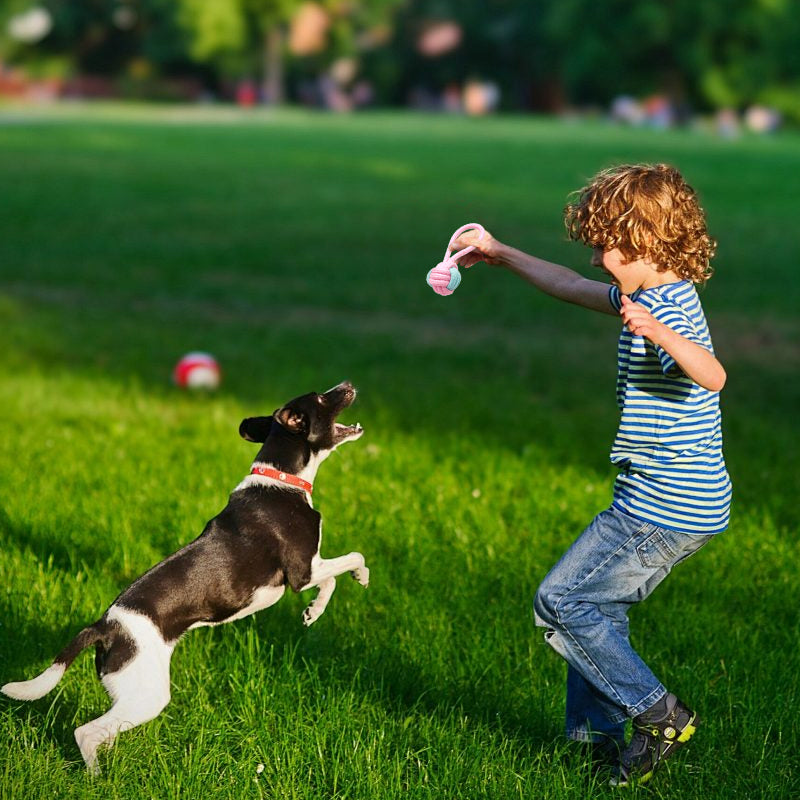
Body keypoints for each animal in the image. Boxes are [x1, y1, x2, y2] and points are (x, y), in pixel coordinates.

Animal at [1, 384, 370, 772]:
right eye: (321, 398)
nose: (347, 386)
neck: (281, 478)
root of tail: (104, 627)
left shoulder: (309, 570)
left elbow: (331, 579)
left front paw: (313, 611)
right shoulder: (302, 571)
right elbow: (350, 560)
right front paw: (359, 577)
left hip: (130, 694)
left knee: (105, 731)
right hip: (148, 695)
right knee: (86, 732)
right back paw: (98, 777)